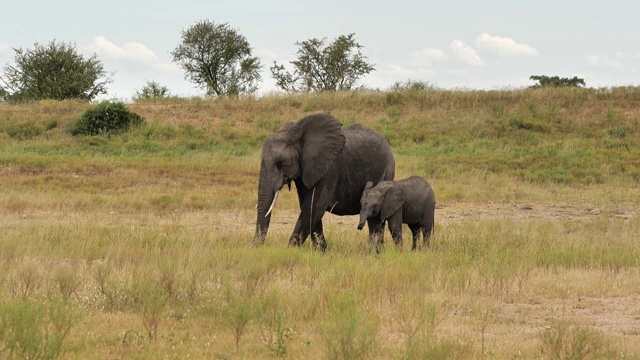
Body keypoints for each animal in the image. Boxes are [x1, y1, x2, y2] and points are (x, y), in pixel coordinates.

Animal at [254, 113, 396, 250]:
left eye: (280, 163)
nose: (257, 247)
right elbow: (308, 205)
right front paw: (321, 251)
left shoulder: (329, 168)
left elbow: (314, 206)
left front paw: (289, 250)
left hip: (387, 171)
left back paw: (375, 250)